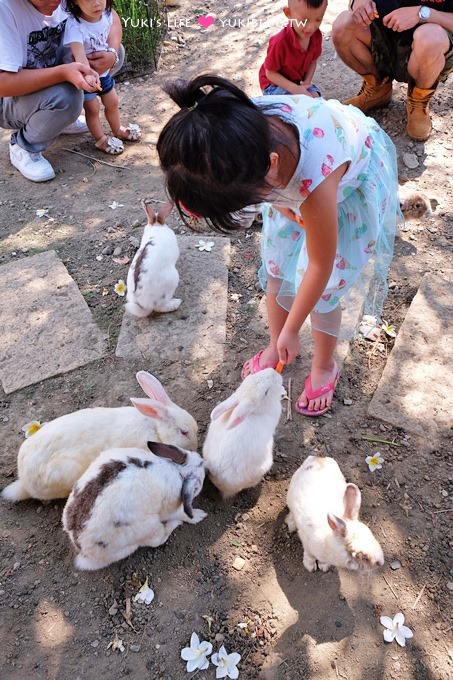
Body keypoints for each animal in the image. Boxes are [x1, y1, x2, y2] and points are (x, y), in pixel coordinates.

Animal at [61, 444, 207, 572]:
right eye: (199, 481)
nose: (203, 460)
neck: (178, 470)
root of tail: (83, 550)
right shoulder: (171, 508)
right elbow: (183, 513)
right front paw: (199, 515)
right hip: (150, 528)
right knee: (160, 539)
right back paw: (175, 524)